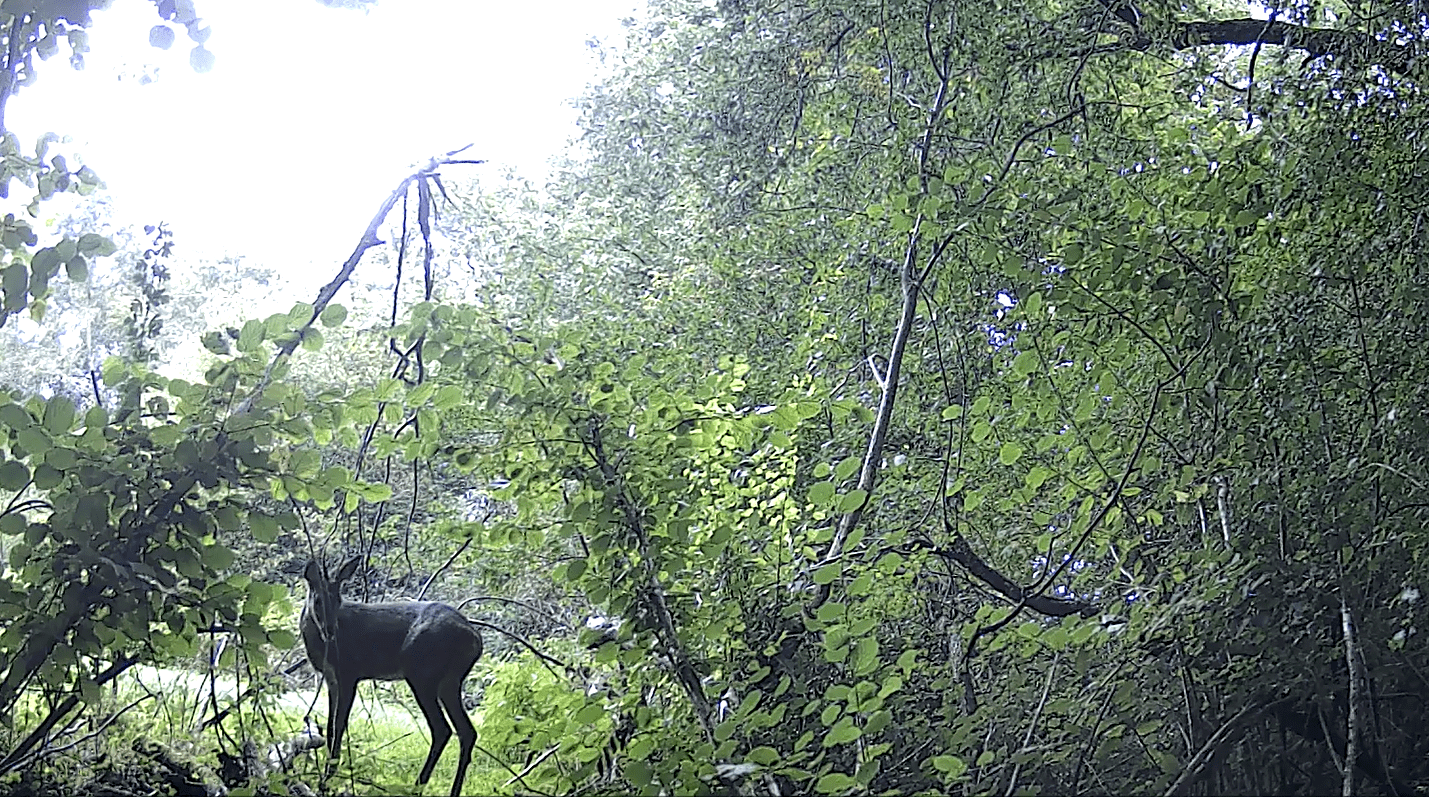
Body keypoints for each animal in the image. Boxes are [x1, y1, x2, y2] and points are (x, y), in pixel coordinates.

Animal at [301, 559, 485, 794]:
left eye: (339, 600)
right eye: (318, 600)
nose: (331, 630)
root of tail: (475, 638)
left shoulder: (349, 673)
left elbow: (339, 725)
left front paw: (327, 780)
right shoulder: (331, 679)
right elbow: (330, 725)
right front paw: (325, 776)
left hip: (422, 671)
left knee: (442, 729)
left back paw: (416, 787)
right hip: (449, 681)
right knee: (467, 732)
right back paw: (451, 790)